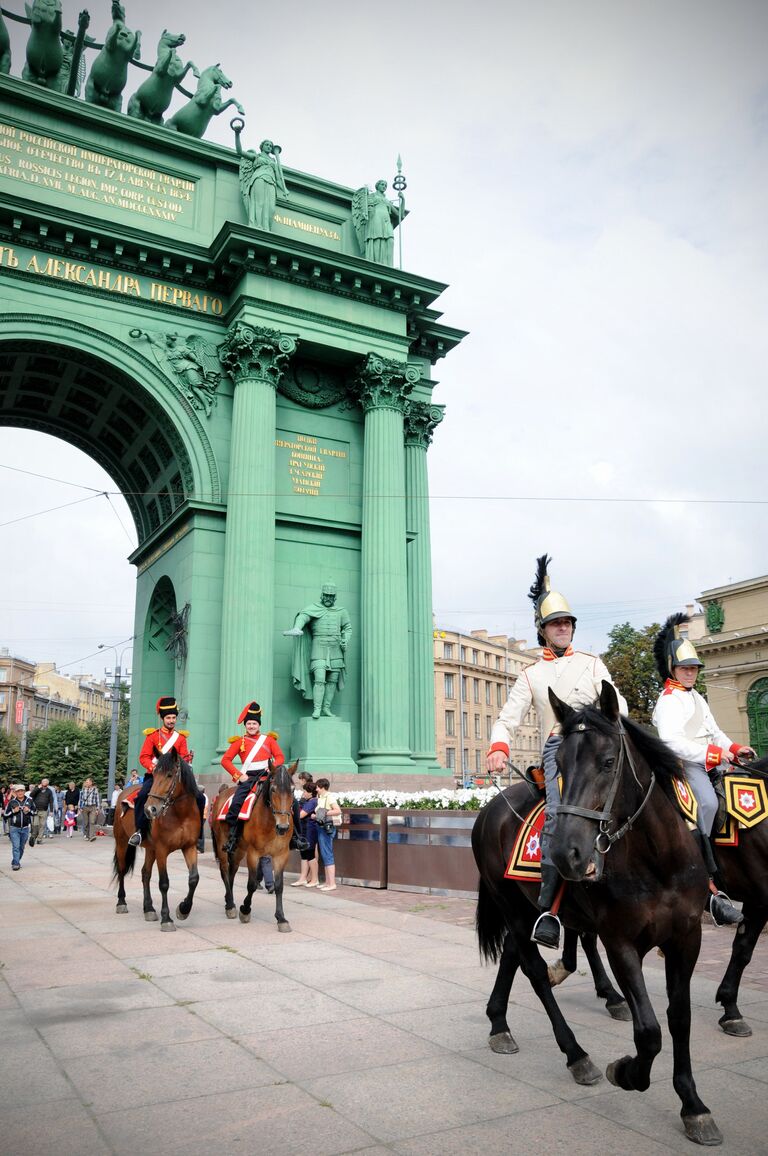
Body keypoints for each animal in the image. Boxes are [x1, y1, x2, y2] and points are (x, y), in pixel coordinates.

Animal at [111, 749, 202, 929]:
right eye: (154, 774)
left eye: (169, 775)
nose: (150, 809)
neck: (181, 814)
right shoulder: (162, 850)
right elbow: (164, 883)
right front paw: (166, 918)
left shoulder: (189, 846)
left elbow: (193, 879)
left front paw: (183, 909)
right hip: (122, 842)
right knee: (122, 870)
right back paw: (121, 902)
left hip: (150, 849)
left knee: (145, 873)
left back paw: (149, 908)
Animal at [210, 762, 296, 934]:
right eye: (273, 789)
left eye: (292, 789)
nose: (283, 827)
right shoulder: (253, 853)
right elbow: (252, 884)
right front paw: (245, 910)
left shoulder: (281, 855)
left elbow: (279, 886)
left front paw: (281, 918)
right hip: (223, 845)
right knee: (224, 870)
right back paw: (230, 905)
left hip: (239, 849)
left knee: (232, 871)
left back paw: (229, 900)